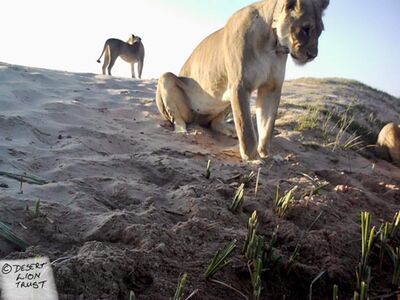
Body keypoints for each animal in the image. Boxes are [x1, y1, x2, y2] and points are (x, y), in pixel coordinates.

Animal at [155, 0, 328, 161]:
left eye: (320, 32)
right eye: (305, 29)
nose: (313, 55)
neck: (273, 44)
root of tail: (198, 121)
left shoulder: (271, 88)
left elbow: (267, 127)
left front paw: (267, 156)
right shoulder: (240, 85)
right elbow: (246, 129)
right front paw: (253, 159)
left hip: (225, 98)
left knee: (214, 123)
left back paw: (228, 131)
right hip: (167, 80)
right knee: (177, 117)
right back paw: (182, 130)